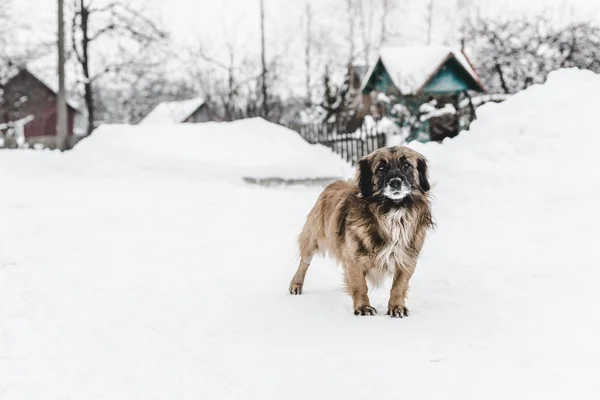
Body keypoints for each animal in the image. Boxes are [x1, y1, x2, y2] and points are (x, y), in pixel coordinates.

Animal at [290, 145, 434, 318]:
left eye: (407, 165)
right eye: (381, 168)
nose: (395, 183)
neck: (392, 211)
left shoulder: (406, 258)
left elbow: (399, 286)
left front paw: (397, 306)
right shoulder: (354, 257)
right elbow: (360, 285)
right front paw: (363, 306)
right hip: (313, 239)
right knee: (304, 261)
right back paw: (296, 284)